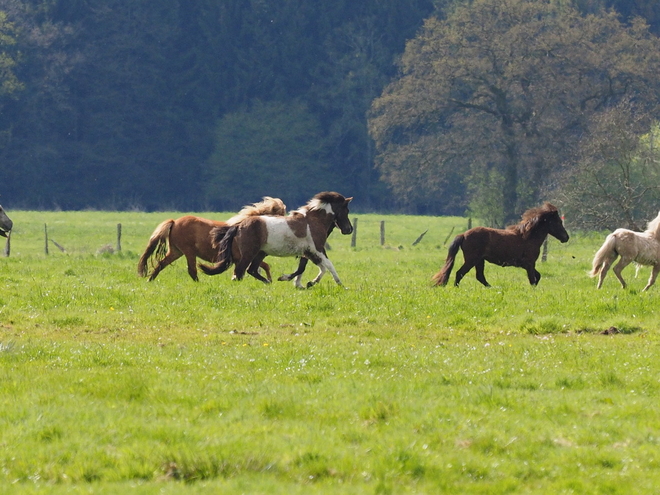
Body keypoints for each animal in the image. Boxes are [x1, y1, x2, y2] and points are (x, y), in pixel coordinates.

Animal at [137, 198, 286, 282]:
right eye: (279, 214)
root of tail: (174, 222)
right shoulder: (243, 256)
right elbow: (260, 267)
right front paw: (269, 280)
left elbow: (263, 266)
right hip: (189, 252)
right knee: (192, 271)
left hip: (176, 252)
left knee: (161, 264)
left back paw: (150, 280)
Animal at [200, 192, 354, 288]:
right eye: (346, 211)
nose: (349, 229)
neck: (314, 221)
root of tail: (238, 226)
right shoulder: (318, 249)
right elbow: (329, 265)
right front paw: (341, 285)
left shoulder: (309, 252)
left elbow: (316, 268)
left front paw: (306, 283)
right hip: (250, 253)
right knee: (239, 271)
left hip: (260, 253)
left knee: (251, 270)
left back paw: (269, 283)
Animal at [434, 202, 568, 286]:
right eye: (558, 222)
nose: (566, 238)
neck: (528, 237)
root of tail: (463, 234)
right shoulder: (529, 264)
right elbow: (533, 280)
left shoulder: (527, 265)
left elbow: (538, 276)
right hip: (472, 260)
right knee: (460, 273)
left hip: (479, 261)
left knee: (479, 276)